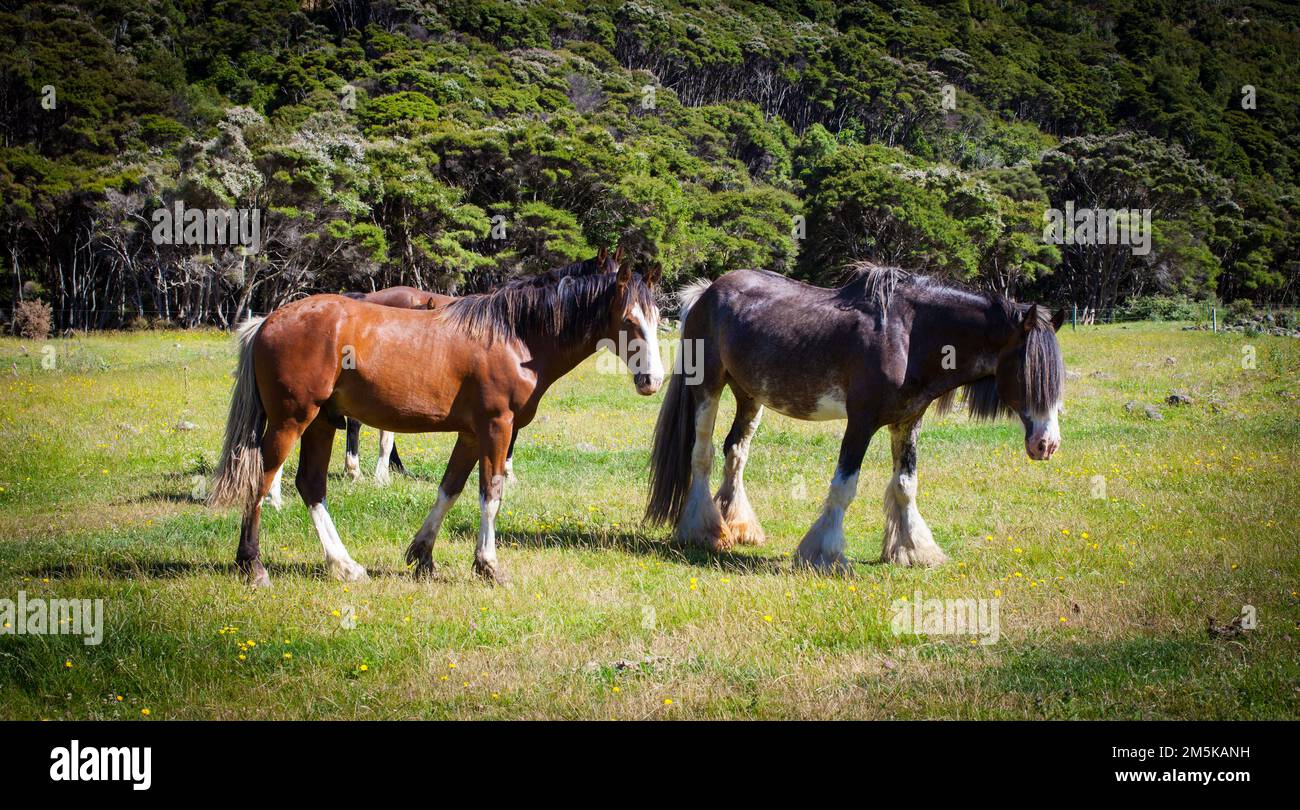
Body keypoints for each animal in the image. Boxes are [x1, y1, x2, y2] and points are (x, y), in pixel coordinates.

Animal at [209, 251, 664, 586]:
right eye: (629, 319)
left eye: (657, 318)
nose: (653, 380)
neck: (514, 336)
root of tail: (267, 320)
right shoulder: (496, 427)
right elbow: (491, 492)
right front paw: (488, 565)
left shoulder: (470, 434)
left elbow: (450, 489)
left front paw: (422, 555)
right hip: (291, 421)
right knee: (260, 480)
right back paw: (253, 565)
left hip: (320, 423)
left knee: (311, 486)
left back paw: (344, 565)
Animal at [645, 264, 1064, 572]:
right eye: (1029, 373)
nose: (1046, 444)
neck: (910, 336)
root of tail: (706, 292)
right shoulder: (860, 422)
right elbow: (844, 487)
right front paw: (823, 553)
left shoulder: (907, 422)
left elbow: (905, 486)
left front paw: (912, 550)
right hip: (708, 387)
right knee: (702, 455)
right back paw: (703, 530)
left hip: (751, 395)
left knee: (735, 452)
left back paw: (739, 527)